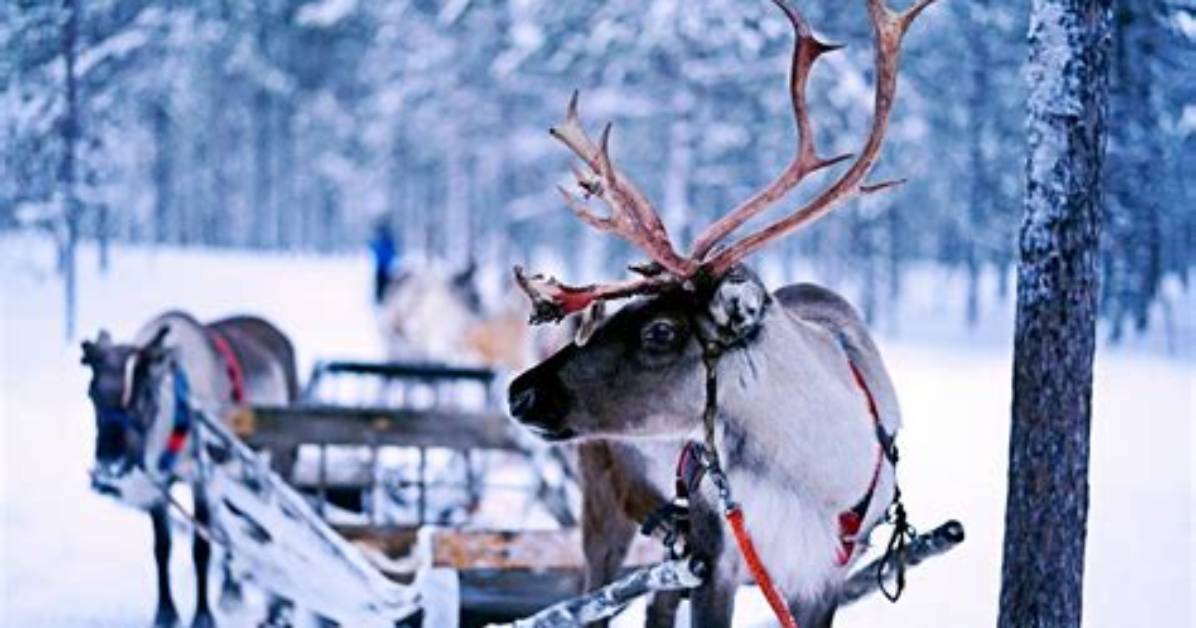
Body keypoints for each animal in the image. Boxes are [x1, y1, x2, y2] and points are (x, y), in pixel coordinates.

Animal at [505, 1, 939, 626]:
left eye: (660, 331)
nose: (520, 392)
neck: (809, 479)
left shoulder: (823, 576)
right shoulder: (716, 554)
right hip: (605, 506)